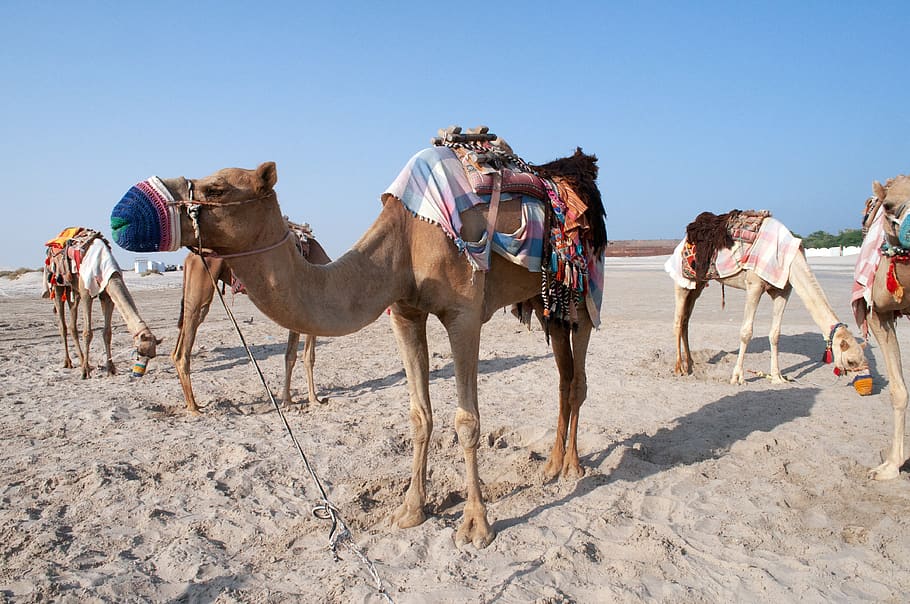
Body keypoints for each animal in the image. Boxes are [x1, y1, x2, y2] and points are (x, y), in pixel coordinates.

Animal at [44, 229, 160, 378]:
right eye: (139, 353)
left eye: (152, 356)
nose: (138, 373)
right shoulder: (86, 293)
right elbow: (88, 333)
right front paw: (85, 372)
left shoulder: (107, 296)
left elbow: (107, 333)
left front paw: (111, 369)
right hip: (58, 284)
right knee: (62, 325)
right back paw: (69, 363)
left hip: (73, 291)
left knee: (72, 325)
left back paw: (84, 362)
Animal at [174, 229, 332, 414]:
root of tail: (190, 257)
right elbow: (299, 356)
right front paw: (302, 400)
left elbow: (302, 356)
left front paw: (298, 399)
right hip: (201, 284)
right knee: (185, 346)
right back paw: (193, 407)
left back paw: (192, 403)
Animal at [668, 211, 867, 384]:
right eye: (851, 361)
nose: (862, 379)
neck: (791, 259)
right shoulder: (754, 285)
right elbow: (746, 332)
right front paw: (737, 377)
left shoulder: (783, 290)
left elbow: (775, 334)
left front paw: (777, 377)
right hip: (682, 281)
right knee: (678, 321)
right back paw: (679, 368)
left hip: (698, 285)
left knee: (686, 320)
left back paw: (691, 365)